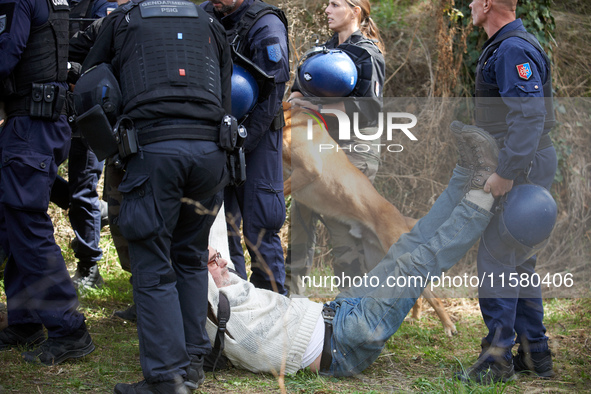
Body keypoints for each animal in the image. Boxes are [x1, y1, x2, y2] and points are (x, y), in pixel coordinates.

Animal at [282, 103, 458, 338]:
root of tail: (401, 218)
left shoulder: (308, 170)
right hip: (379, 263)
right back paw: (414, 317)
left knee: (433, 297)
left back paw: (448, 326)